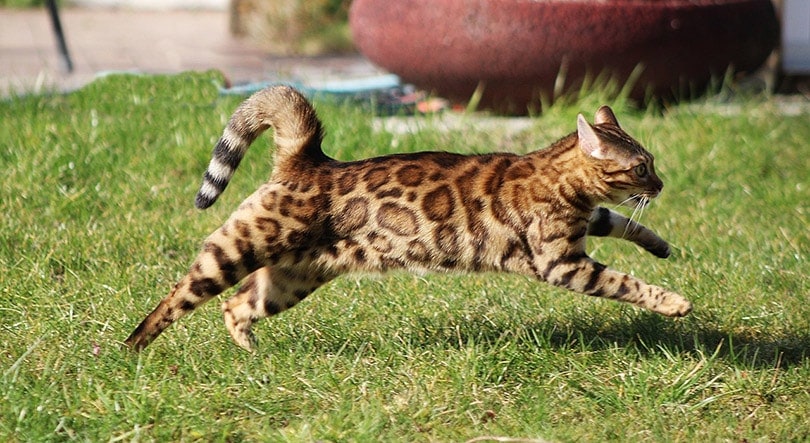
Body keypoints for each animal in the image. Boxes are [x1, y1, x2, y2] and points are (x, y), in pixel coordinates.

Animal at [123, 85, 692, 352]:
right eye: (642, 167)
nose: (662, 184)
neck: (553, 172)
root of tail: (308, 159)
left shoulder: (581, 227)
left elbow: (619, 221)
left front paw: (661, 245)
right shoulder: (561, 262)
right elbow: (625, 282)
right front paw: (673, 302)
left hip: (292, 278)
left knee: (237, 305)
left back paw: (249, 349)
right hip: (237, 248)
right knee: (179, 295)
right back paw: (131, 350)